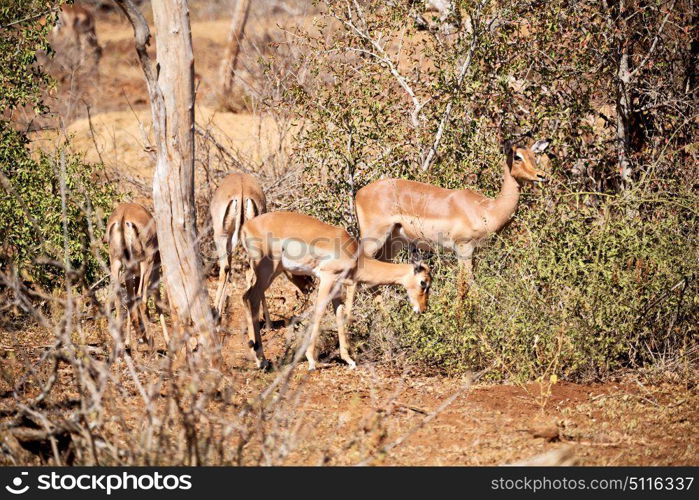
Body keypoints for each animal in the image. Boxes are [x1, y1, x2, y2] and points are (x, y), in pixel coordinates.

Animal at [105, 201, 161, 350]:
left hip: (117, 262)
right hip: (145, 263)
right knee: (142, 298)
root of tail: (123, 218)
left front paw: (131, 340)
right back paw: (150, 342)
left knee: (119, 299)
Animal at [239, 211, 432, 372]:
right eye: (423, 282)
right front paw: (311, 361)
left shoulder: (337, 287)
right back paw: (262, 359)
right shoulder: (327, 278)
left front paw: (349, 360)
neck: (355, 256)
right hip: (267, 271)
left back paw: (258, 358)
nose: (422, 309)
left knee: (246, 297)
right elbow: (319, 312)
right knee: (252, 298)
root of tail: (246, 226)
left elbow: (340, 315)